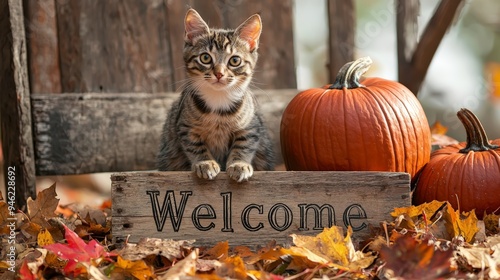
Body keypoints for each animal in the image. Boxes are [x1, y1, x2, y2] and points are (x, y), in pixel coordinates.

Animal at [156, 8, 274, 182]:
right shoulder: (185, 127)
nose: (219, 74)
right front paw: (205, 163)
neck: (218, 102)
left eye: (235, 60)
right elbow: (195, 146)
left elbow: (244, 145)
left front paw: (239, 164)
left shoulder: (251, 127)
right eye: (205, 57)